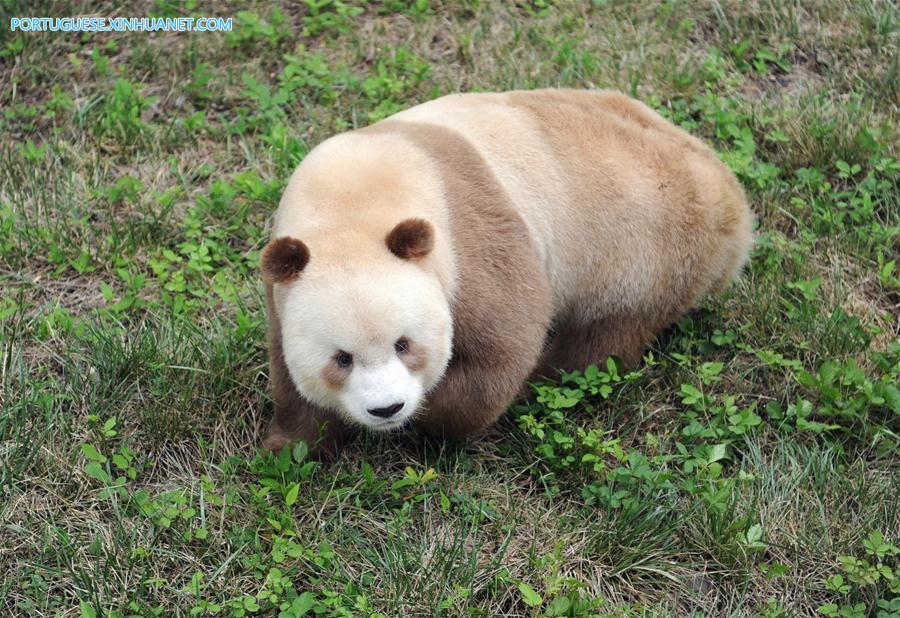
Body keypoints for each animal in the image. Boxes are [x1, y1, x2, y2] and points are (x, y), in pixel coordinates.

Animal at [260, 89, 753, 455]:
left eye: (404, 344)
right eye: (341, 358)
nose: (387, 409)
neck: (352, 204)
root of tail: (732, 202)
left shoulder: (468, 237)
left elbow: (503, 344)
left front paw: (431, 414)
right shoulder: (284, 285)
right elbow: (288, 370)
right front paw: (289, 446)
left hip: (644, 251)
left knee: (603, 339)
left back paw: (546, 377)